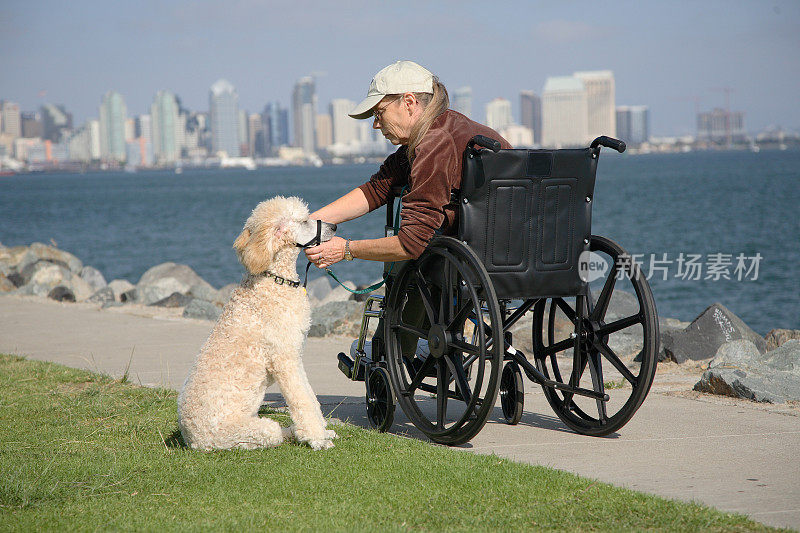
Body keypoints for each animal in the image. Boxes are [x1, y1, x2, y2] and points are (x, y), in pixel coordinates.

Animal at [178, 195, 338, 448]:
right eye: (304, 221)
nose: (334, 226)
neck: (275, 279)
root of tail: (192, 439)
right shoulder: (284, 358)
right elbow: (302, 400)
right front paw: (317, 439)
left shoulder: (294, 355)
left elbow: (310, 397)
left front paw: (322, 431)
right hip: (251, 431)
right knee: (274, 432)